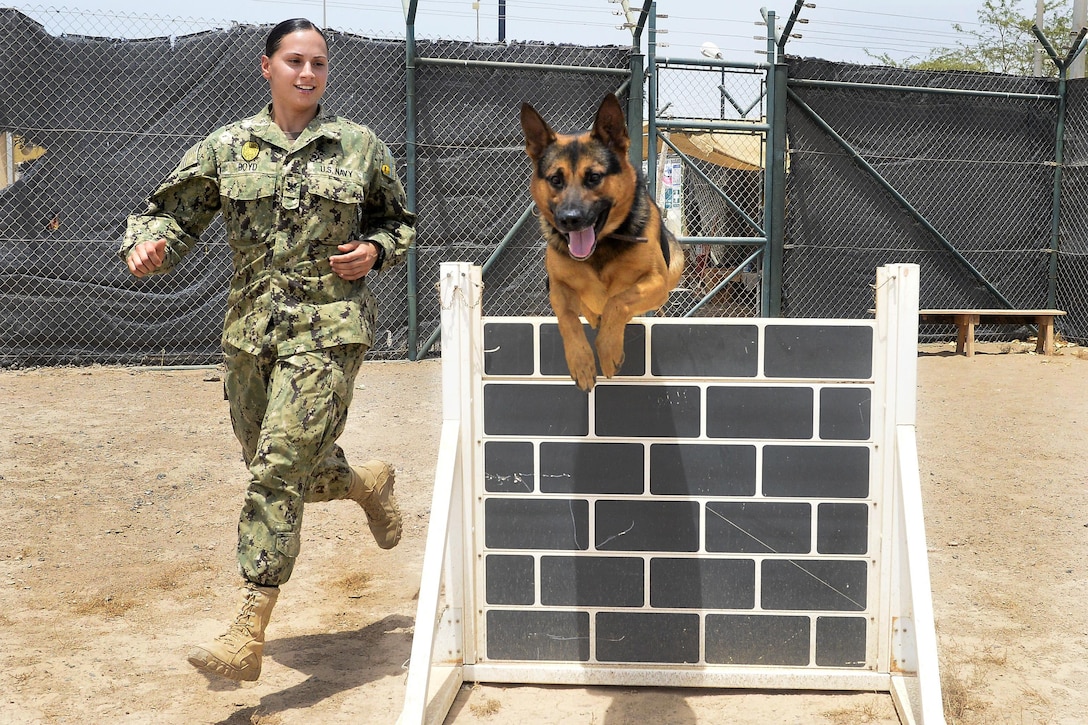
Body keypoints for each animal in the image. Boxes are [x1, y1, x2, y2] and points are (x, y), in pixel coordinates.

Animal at [522, 95, 683, 391]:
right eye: (555, 179)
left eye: (594, 177)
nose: (569, 220)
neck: (600, 248)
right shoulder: (558, 288)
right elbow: (568, 320)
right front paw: (581, 362)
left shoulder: (654, 281)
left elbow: (618, 301)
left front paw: (608, 350)